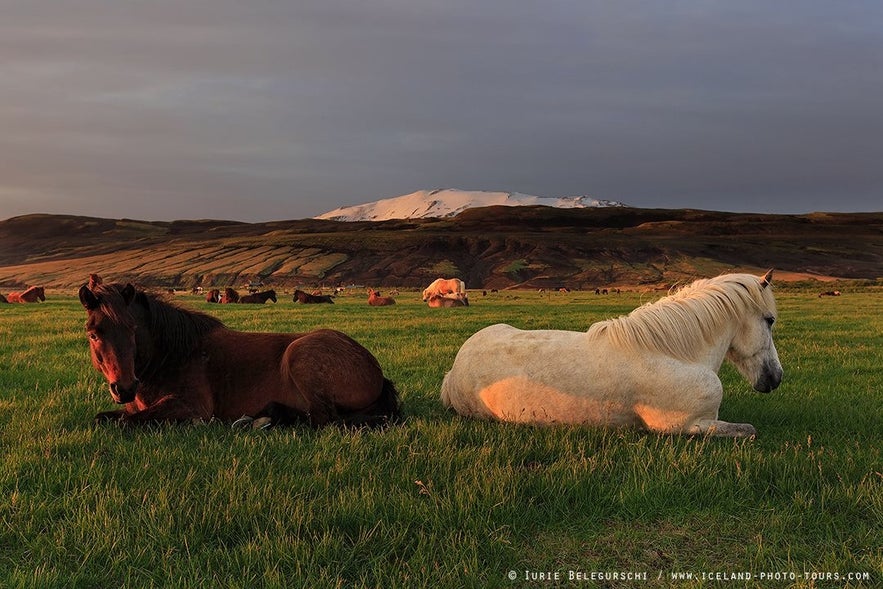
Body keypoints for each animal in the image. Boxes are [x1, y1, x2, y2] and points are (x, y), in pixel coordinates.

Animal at [77, 276, 402, 428]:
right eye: (93, 333)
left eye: (133, 330)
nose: (125, 388)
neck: (172, 356)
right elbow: (105, 417)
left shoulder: (190, 406)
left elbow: (126, 422)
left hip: (300, 355)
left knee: (323, 420)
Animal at [442, 272, 788, 436]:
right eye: (769, 320)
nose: (776, 377)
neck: (674, 354)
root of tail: (453, 369)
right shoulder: (690, 426)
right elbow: (749, 431)